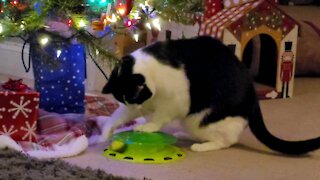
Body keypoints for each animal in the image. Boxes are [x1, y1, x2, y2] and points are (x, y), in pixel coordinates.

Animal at [102, 36, 320, 155]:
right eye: (122, 99)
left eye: (133, 97)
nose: (133, 107)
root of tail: (253, 97)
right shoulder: (147, 102)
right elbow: (119, 116)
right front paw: (106, 132)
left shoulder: (175, 101)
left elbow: (160, 117)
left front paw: (147, 126)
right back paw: (184, 135)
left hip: (199, 119)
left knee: (228, 141)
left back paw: (202, 146)